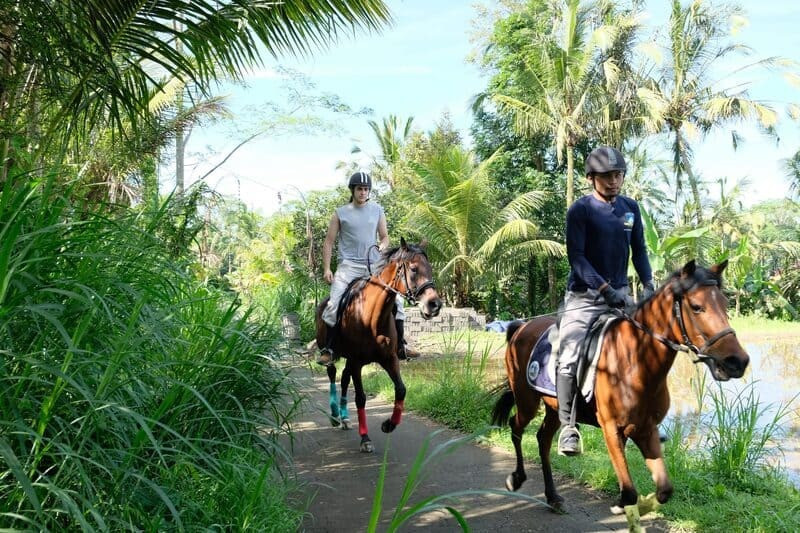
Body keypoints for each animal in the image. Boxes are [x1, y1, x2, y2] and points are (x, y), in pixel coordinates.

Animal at [314, 239, 440, 450]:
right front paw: (365, 438)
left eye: (430, 268)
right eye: (413, 269)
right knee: (332, 374)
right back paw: (335, 415)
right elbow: (361, 398)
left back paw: (345, 418)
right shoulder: (357, 362)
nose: (435, 304)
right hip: (333, 353)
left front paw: (389, 424)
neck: (372, 317)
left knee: (344, 378)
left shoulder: (389, 358)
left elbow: (401, 390)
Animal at [490, 260, 748, 512]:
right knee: (516, 426)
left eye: (725, 304)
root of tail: (521, 327)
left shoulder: (645, 429)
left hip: (553, 407)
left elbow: (664, 490)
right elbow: (631, 492)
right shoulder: (611, 429)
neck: (634, 361)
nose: (738, 361)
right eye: (696, 306)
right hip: (527, 400)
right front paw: (622, 504)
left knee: (543, 439)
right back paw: (516, 478)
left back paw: (553, 496)